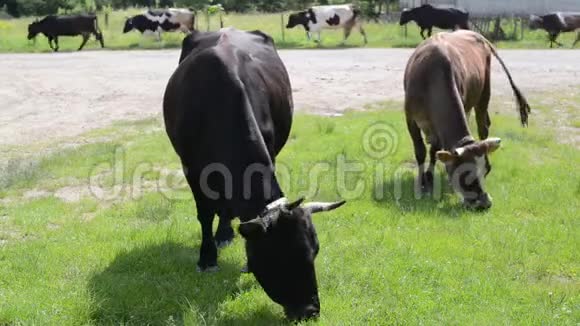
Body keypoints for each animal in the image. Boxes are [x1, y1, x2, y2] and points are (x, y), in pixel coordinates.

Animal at [162, 27, 344, 318]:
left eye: (315, 251)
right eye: (282, 257)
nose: (310, 311)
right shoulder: (190, 167)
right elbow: (205, 214)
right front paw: (207, 258)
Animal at [404, 29, 532, 209]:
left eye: (487, 170)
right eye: (465, 173)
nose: (484, 203)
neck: (431, 79)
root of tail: (475, 34)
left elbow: (434, 150)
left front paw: (430, 177)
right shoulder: (411, 118)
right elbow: (421, 151)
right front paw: (424, 180)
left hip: (484, 94)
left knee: (483, 126)